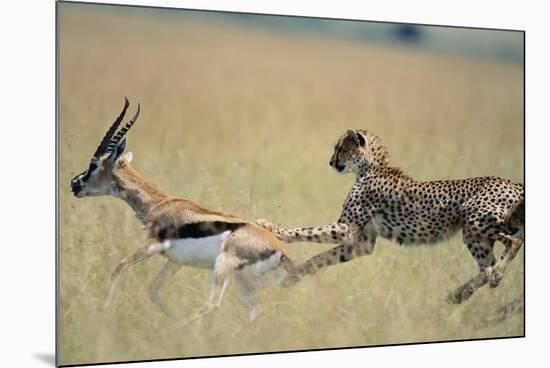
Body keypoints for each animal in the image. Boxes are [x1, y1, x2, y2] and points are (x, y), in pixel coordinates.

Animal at [258, 128, 528, 304]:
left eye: (341, 149)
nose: (331, 162)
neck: (370, 167)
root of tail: (514, 183)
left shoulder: (347, 229)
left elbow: (307, 231)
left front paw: (273, 229)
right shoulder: (361, 243)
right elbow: (321, 258)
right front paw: (293, 276)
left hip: (476, 219)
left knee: (513, 243)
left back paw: (494, 275)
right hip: (474, 235)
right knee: (486, 267)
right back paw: (460, 293)